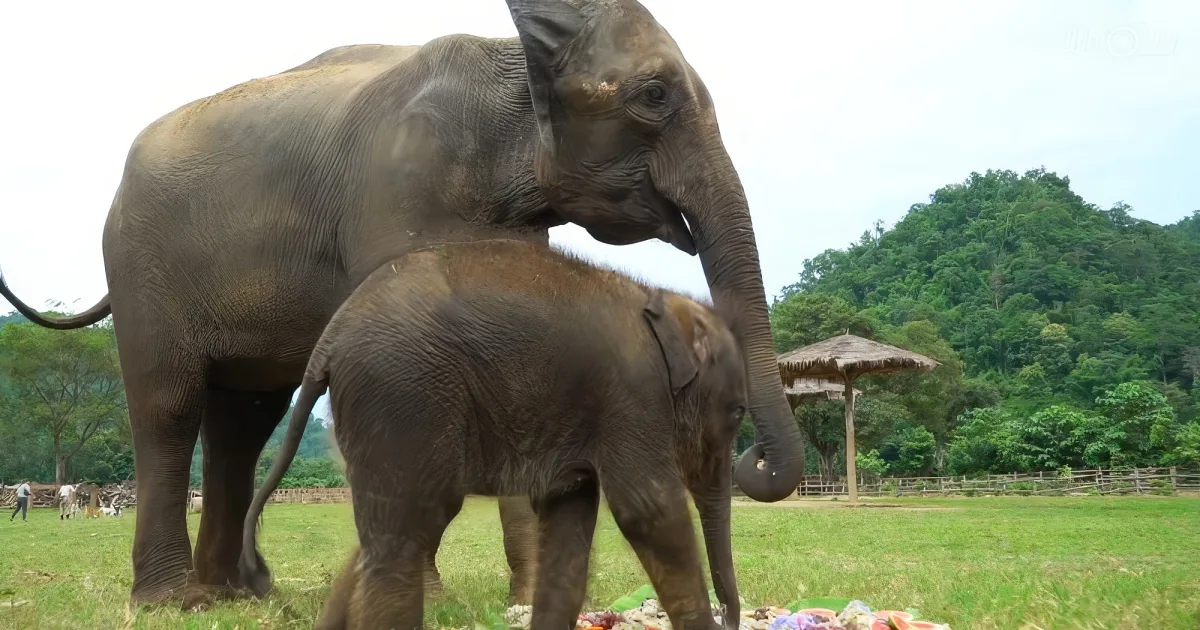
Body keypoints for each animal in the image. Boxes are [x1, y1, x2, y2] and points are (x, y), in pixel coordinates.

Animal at [241, 239, 748, 630]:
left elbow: (568, 520)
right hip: (403, 395)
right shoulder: (633, 396)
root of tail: (327, 342)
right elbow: (649, 511)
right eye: (739, 413)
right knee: (409, 528)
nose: (730, 615)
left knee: (386, 533)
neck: (659, 300)